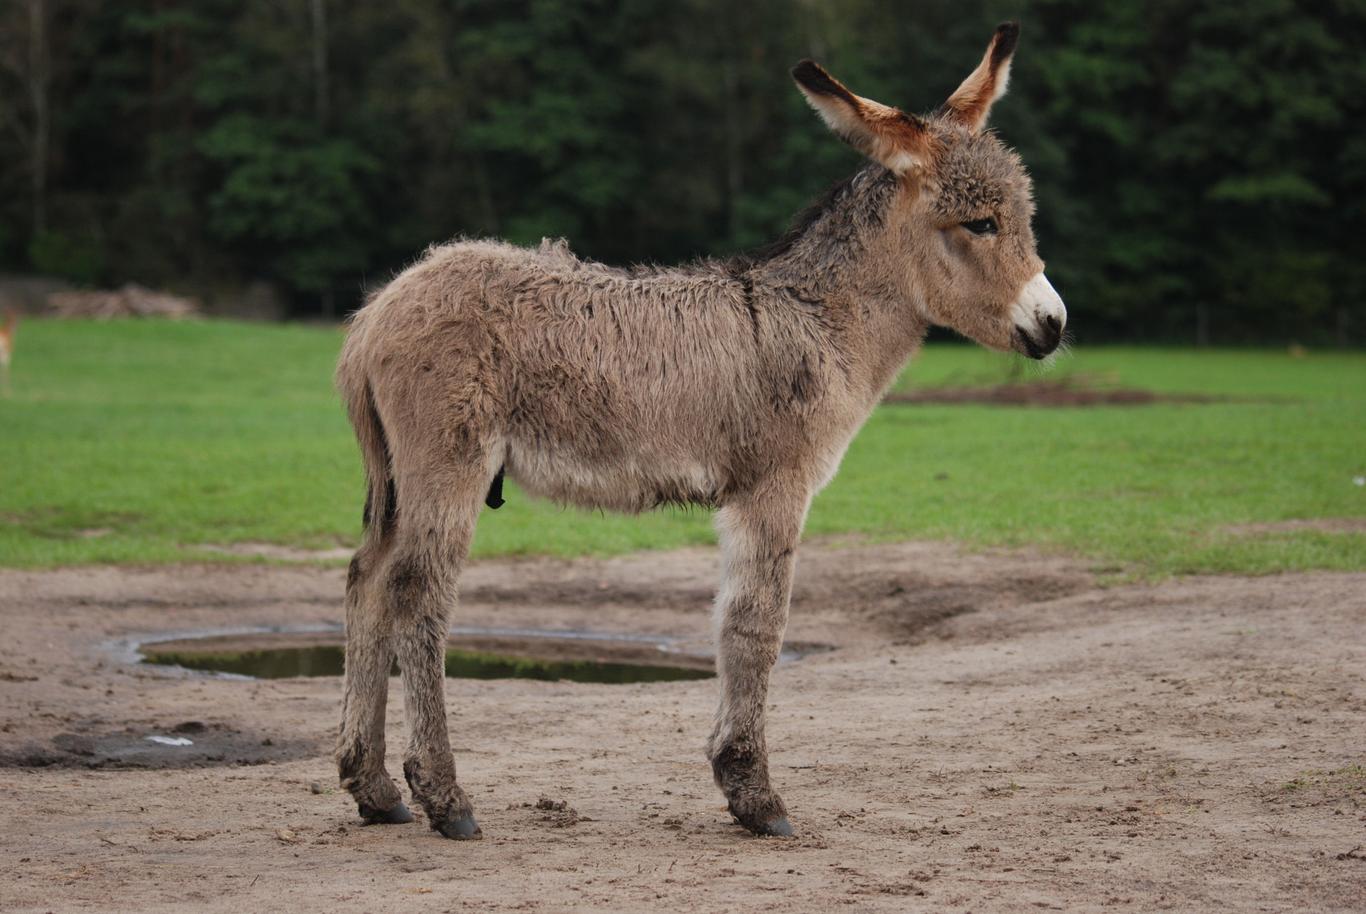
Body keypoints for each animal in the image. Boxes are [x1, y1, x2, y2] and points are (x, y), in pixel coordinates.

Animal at [333, 21, 1065, 836]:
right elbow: (755, 624)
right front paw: (755, 794)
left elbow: (735, 620)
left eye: (1020, 218)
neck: (819, 321)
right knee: (417, 594)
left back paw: (374, 789)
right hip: (448, 462)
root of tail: (379, 310)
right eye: (980, 224)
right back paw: (444, 796)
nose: (1054, 324)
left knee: (367, 581)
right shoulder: (775, 486)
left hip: (400, 476)